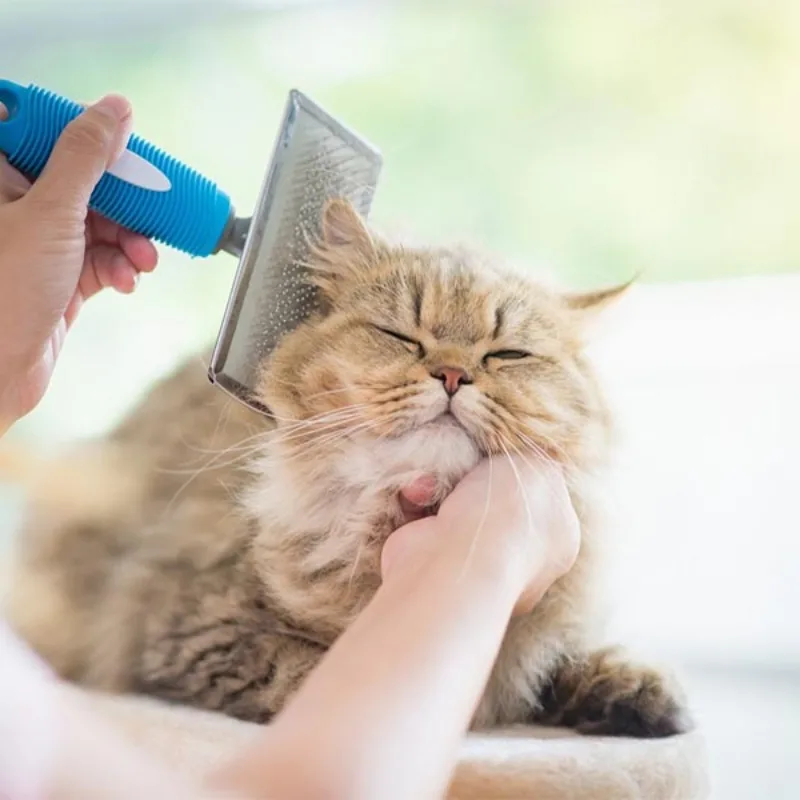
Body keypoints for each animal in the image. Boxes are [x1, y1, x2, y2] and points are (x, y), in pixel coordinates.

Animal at [4, 198, 688, 736]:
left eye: (507, 355)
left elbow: (558, 659)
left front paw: (639, 696)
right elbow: (307, 673)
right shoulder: (188, 630)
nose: (452, 374)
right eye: (402, 336)